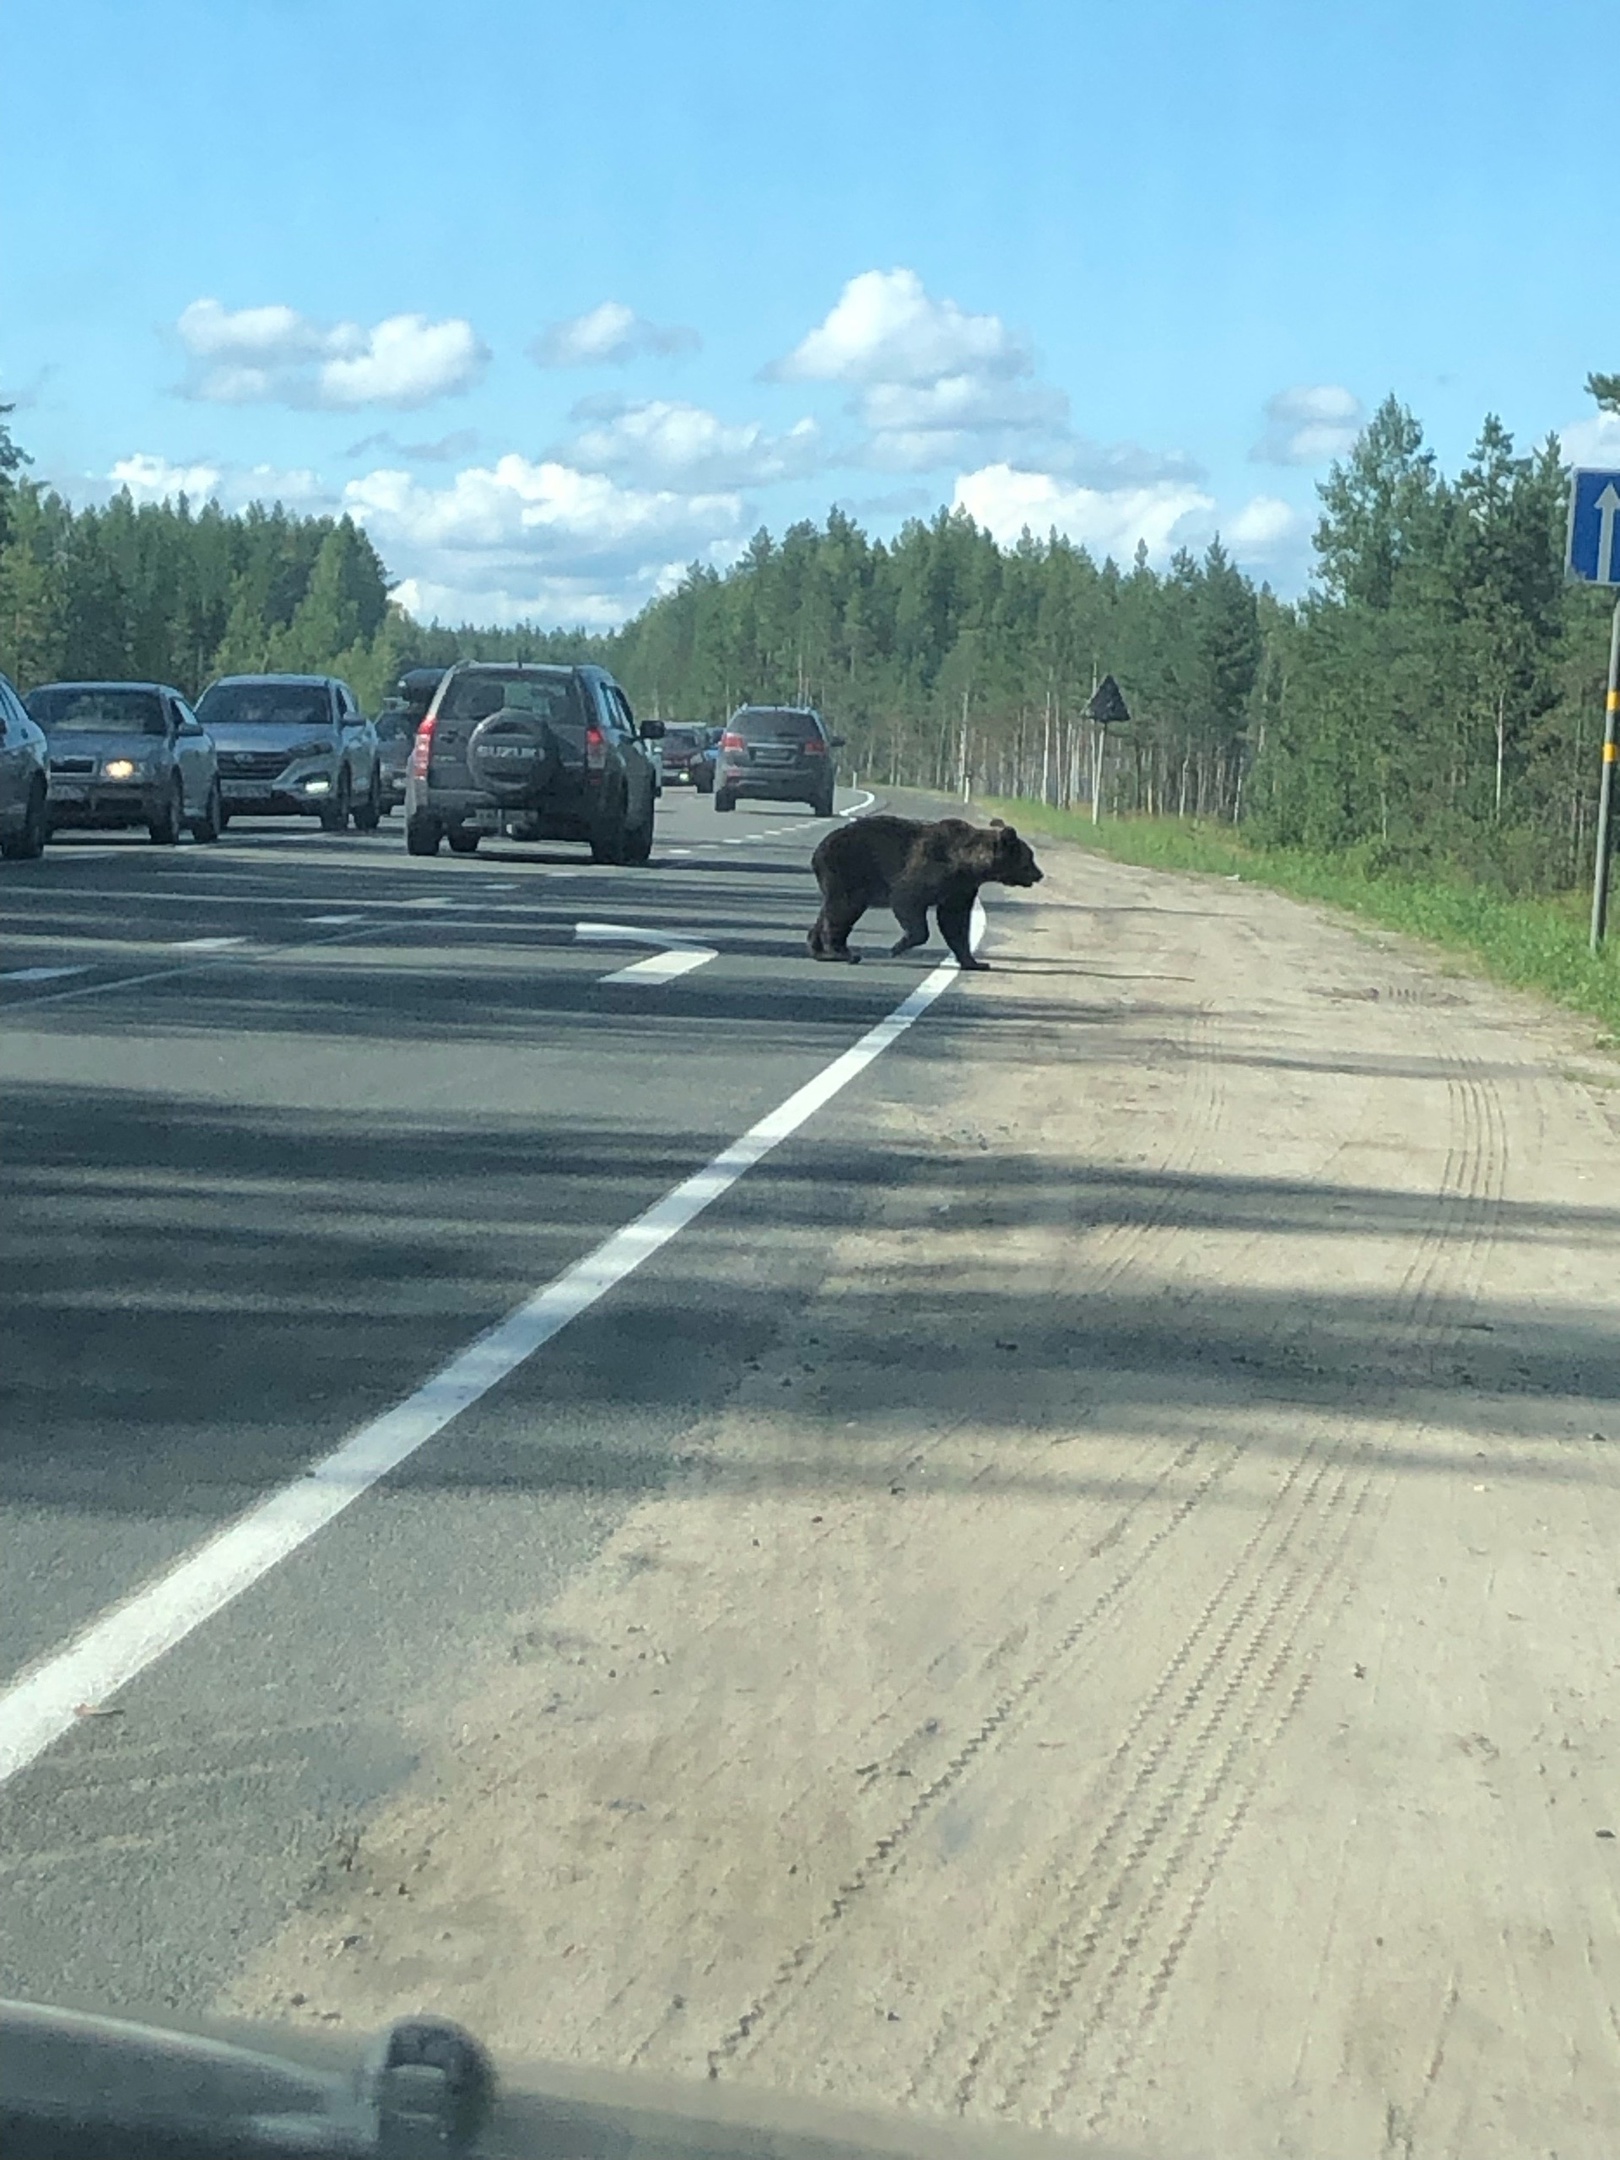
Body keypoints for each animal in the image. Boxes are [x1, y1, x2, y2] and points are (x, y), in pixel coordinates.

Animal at [807, 812, 1045, 976]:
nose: (1040, 874)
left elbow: (955, 922)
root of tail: (818, 849)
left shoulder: (960, 889)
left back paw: (819, 950)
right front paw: (897, 947)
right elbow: (907, 900)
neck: (968, 865)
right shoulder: (927, 871)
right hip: (849, 870)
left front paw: (975, 962)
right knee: (843, 909)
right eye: (1030, 858)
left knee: (830, 909)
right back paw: (841, 952)